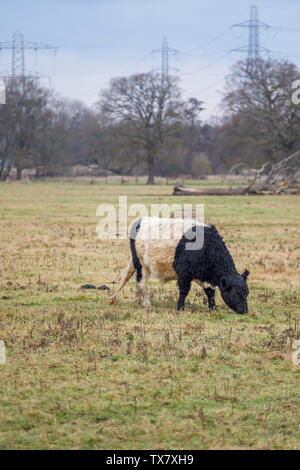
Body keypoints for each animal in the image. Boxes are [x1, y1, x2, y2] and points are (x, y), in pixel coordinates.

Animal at [109, 216, 250, 312]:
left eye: (246, 292)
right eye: (236, 293)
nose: (244, 311)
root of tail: (141, 220)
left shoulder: (203, 275)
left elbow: (210, 291)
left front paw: (213, 308)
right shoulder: (185, 273)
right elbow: (184, 291)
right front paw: (180, 308)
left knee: (137, 282)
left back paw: (136, 301)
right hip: (141, 265)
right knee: (143, 283)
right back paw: (147, 304)